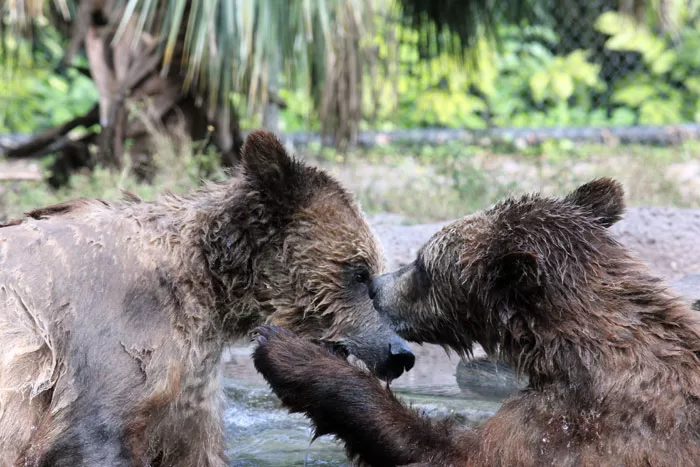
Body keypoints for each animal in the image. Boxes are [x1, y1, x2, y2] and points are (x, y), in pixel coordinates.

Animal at [0, 130, 416, 467]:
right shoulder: (115, 333)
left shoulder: (189, 381)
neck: (207, 287)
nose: (400, 353)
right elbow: (94, 434)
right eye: (359, 272)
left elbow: (195, 448)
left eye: (374, 272)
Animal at [254, 179, 700, 467]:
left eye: (422, 264)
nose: (377, 287)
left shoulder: (575, 425)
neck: (562, 349)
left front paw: (288, 351)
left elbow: (454, 452)